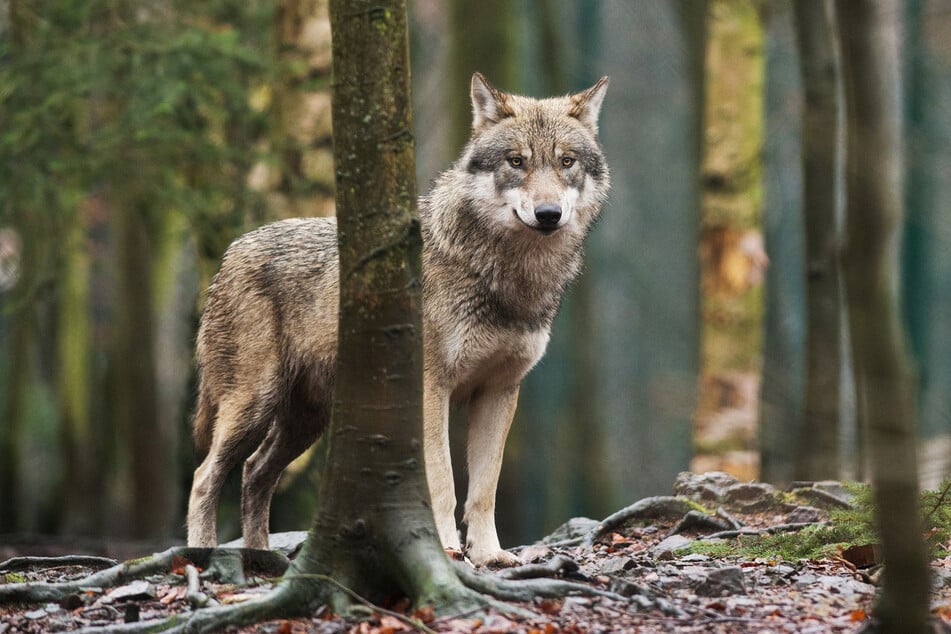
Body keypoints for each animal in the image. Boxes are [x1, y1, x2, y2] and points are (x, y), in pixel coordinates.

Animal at [186, 73, 610, 566]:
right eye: (516, 161)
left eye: (566, 162)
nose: (548, 214)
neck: (508, 277)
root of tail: (230, 252)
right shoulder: (431, 389)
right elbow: (443, 483)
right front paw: (446, 549)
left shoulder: (500, 391)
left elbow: (485, 489)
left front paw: (490, 555)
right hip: (254, 405)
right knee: (204, 477)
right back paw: (202, 555)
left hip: (305, 422)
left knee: (254, 473)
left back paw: (261, 559)